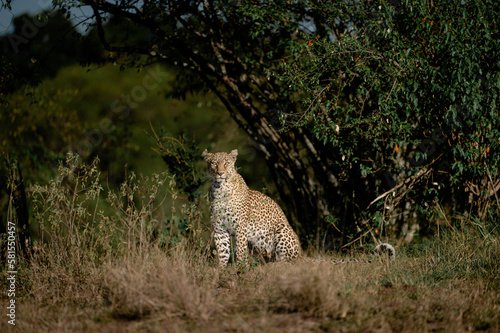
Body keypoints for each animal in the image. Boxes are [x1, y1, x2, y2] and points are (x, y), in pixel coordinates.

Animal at [202, 149, 394, 266]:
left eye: (226, 163)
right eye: (213, 163)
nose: (220, 173)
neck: (220, 189)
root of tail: (302, 255)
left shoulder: (240, 228)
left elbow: (240, 251)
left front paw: (241, 269)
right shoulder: (219, 229)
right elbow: (223, 252)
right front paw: (221, 271)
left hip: (281, 231)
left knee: (289, 263)